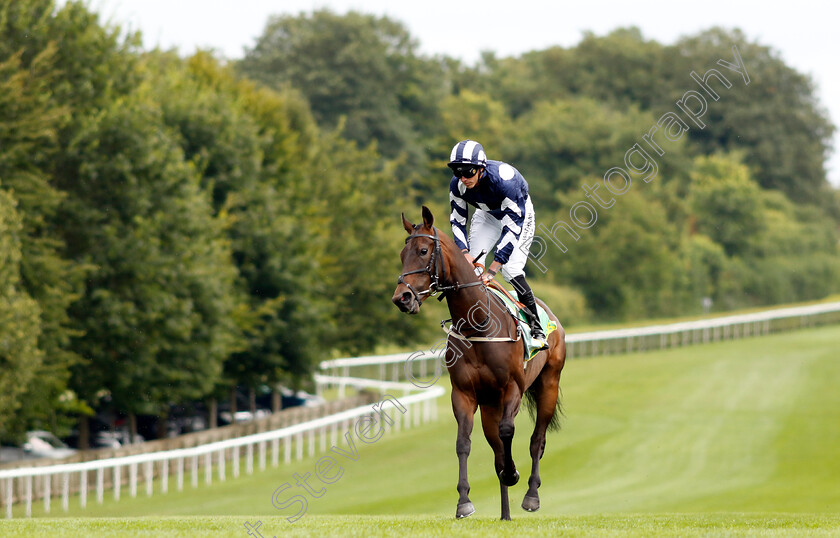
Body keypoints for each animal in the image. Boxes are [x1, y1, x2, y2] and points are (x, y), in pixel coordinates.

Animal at [392, 205, 564, 520]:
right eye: (402, 254)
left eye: (423, 251)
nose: (402, 298)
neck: (479, 326)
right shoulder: (464, 393)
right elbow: (464, 443)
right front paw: (464, 501)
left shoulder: (512, 389)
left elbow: (509, 432)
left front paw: (513, 474)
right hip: (489, 405)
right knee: (496, 448)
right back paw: (505, 512)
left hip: (549, 384)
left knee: (537, 440)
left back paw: (531, 495)